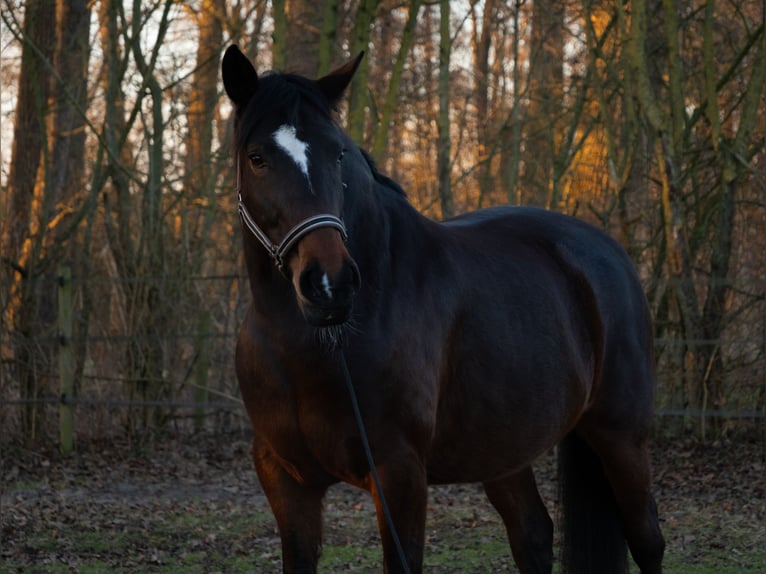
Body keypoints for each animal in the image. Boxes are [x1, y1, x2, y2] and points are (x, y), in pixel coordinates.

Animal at [221, 44, 665, 574]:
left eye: (338, 153)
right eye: (258, 158)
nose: (330, 284)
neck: (307, 346)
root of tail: (609, 252)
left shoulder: (399, 474)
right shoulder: (286, 481)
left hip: (621, 437)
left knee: (647, 540)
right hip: (503, 446)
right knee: (533, 534)